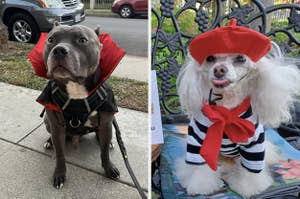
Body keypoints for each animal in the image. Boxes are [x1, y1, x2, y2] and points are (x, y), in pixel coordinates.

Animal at [39, 22, 120, 189]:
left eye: (82, 40)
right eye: (50, 39)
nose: (59, 50)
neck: (75, 88)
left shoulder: (106, 122)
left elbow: (104, 153)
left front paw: (109, 168)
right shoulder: (57, 127)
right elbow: (60, 154)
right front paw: (59, 174)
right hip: (47, 122)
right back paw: (49, 142)